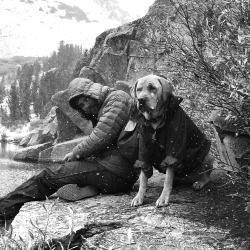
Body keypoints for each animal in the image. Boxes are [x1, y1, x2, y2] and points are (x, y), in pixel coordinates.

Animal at [130, 74, 214, 207]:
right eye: (138, 89)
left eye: (152, 88)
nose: (141, 100)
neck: (155, 121)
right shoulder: (144, 148)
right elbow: (143, 176)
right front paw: (139, 196)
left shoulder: (174, 146)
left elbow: (168, 179)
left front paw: (163, 197)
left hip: (207, 155)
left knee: (206, 176)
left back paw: (200, 182)